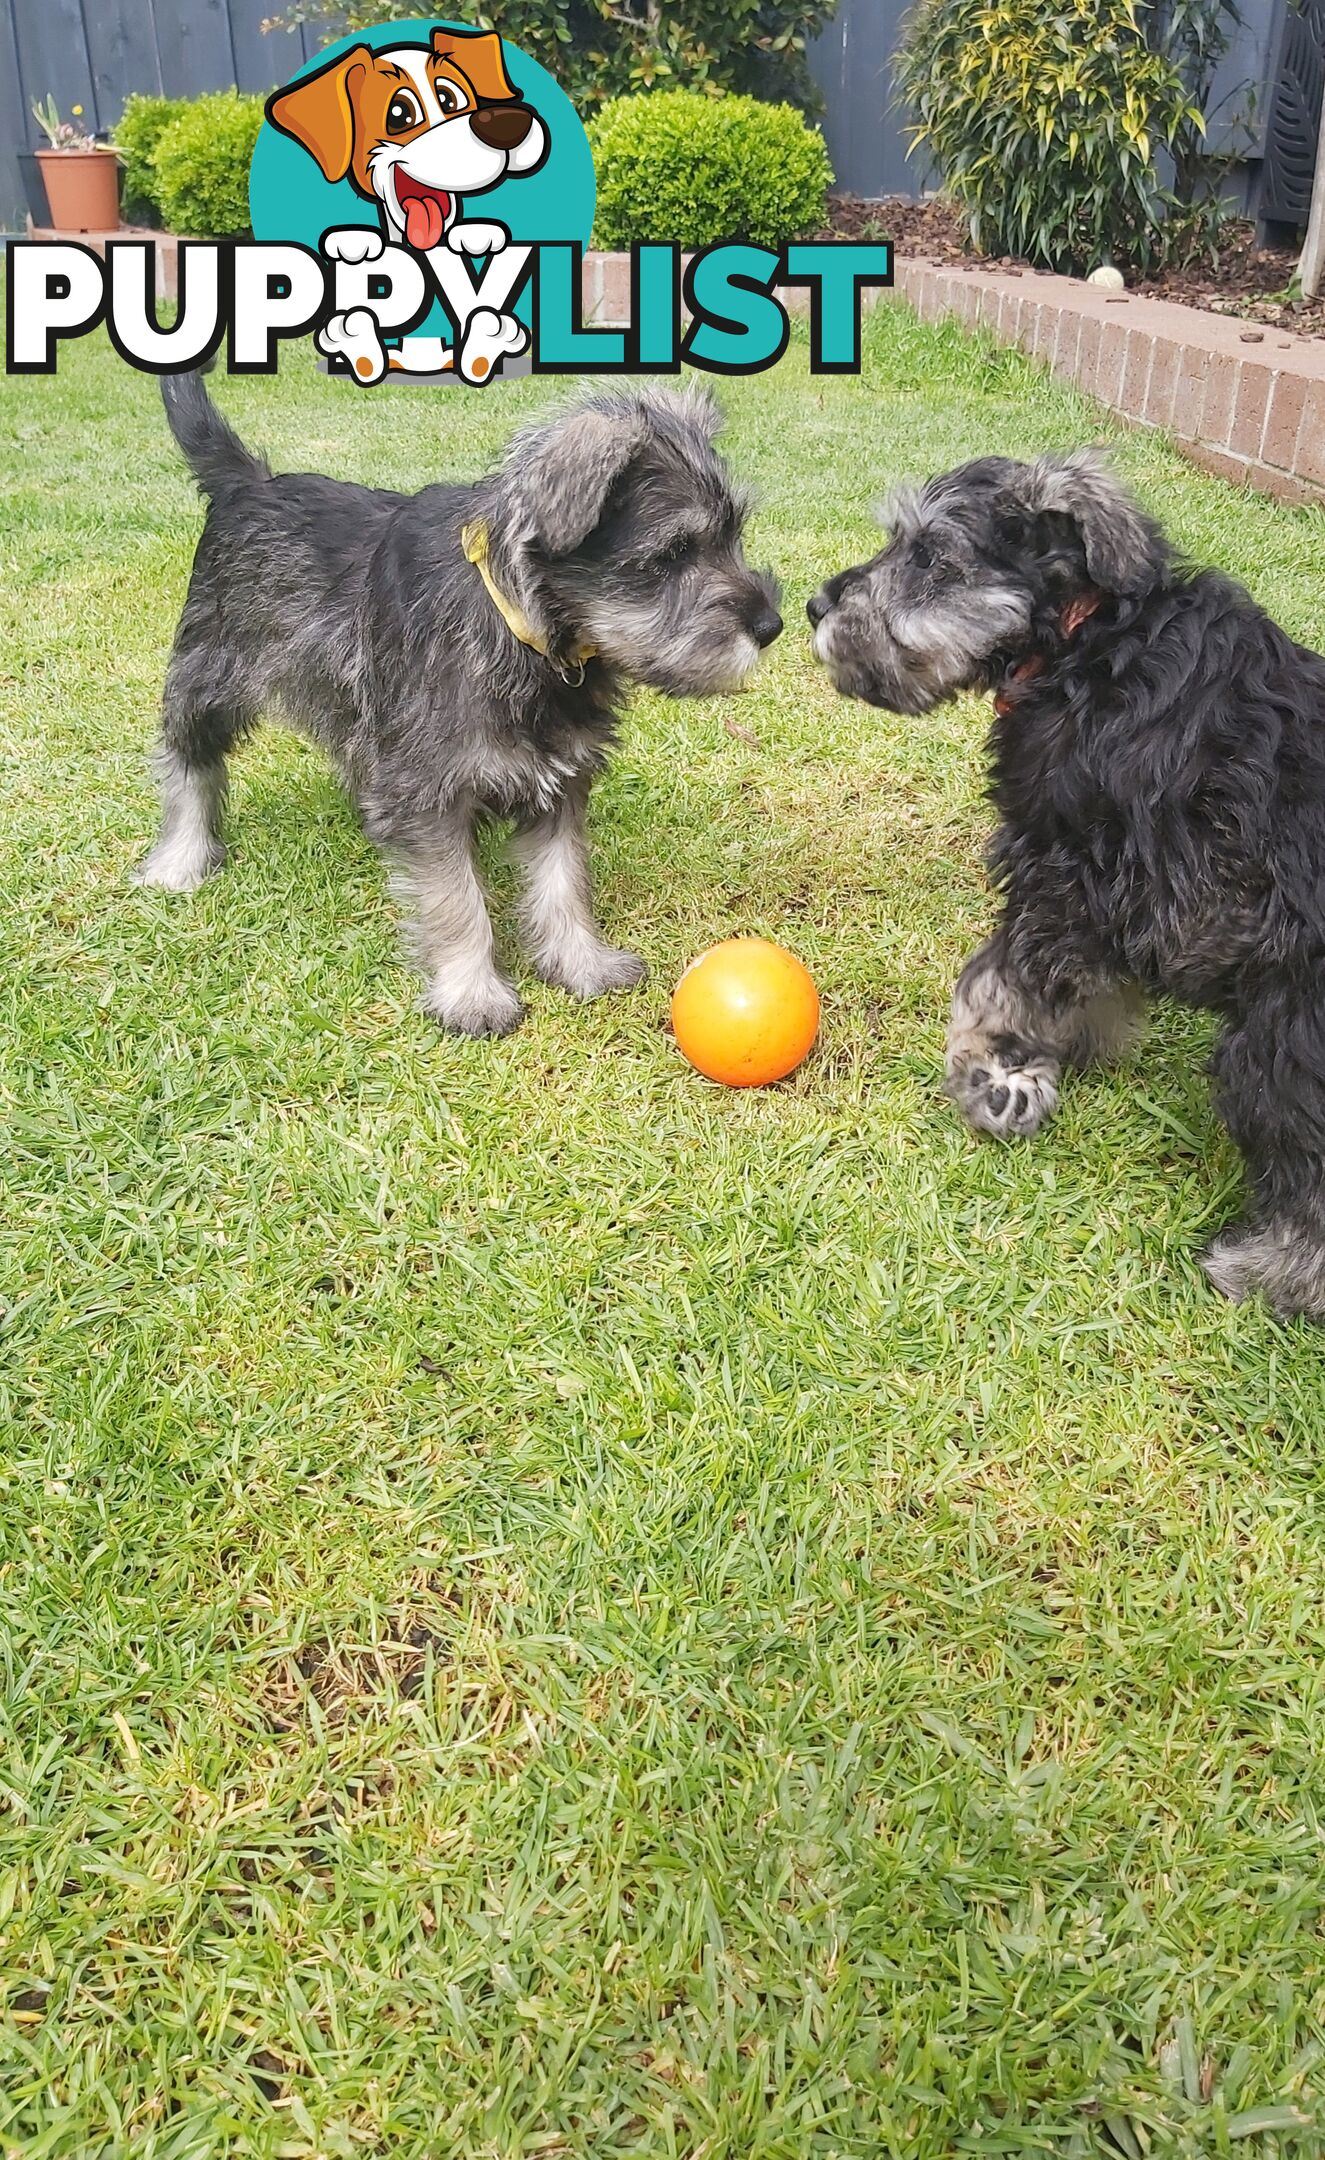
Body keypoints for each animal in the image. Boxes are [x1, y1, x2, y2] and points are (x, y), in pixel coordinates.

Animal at [139, 371, 778, 1036]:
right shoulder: (431, 797)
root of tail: (247, 482)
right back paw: (179, 860)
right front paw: (472, 994)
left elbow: (563, 880)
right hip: (209, 676)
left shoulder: (560, 780)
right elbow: (456, 899)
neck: (521, 631)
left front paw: (581, 962)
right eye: (673, 552)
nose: (771, 625)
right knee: (186, 762)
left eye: (733, 534)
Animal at [804, 455, 1325, 1321]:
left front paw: (994, 1075)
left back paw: (1265, 1276)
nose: (816, 605)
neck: (1086, 647)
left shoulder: (1064, 878)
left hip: (1285, 1031)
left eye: (929, 556)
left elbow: (998, 981)